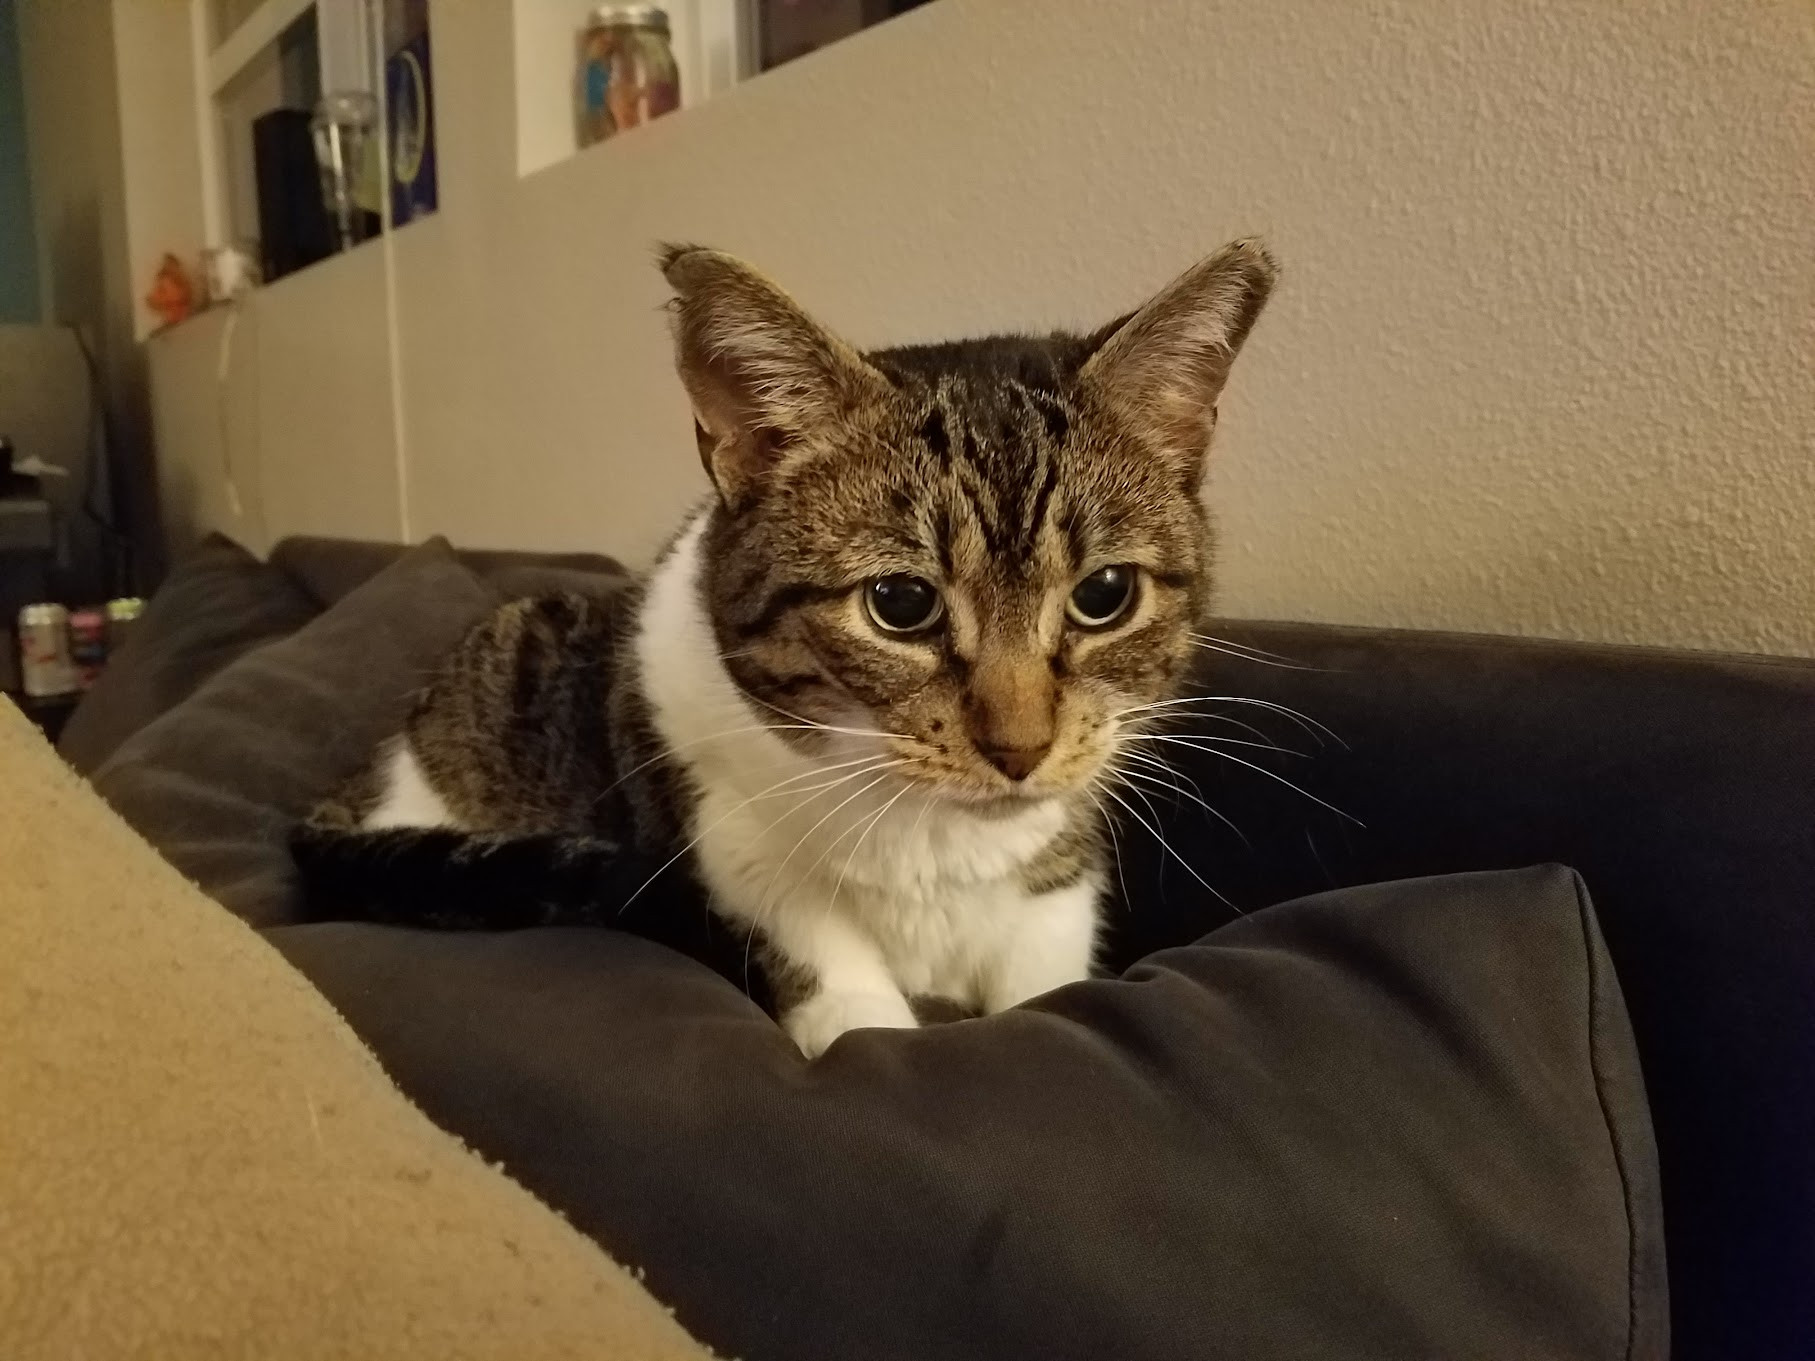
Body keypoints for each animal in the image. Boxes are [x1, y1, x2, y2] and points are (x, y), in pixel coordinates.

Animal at [294, 239, 1277, 1059]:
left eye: (1104, 595)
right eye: (900, 604)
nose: (1019, 748)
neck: (934, 837)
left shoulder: (1053, 891)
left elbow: (1047, 994)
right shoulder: (737, 849)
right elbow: (845, 996)